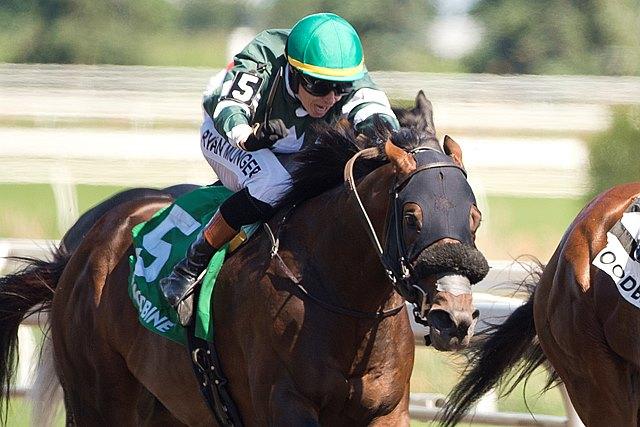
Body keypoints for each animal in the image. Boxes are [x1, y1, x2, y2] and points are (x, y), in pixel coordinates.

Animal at [1, 91, 489, 426]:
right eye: (411, 216)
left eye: (474, 215)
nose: (454, 316)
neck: (343, 301)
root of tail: (79, 255)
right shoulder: (284, 405)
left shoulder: (385, 410)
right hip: (98, 399)